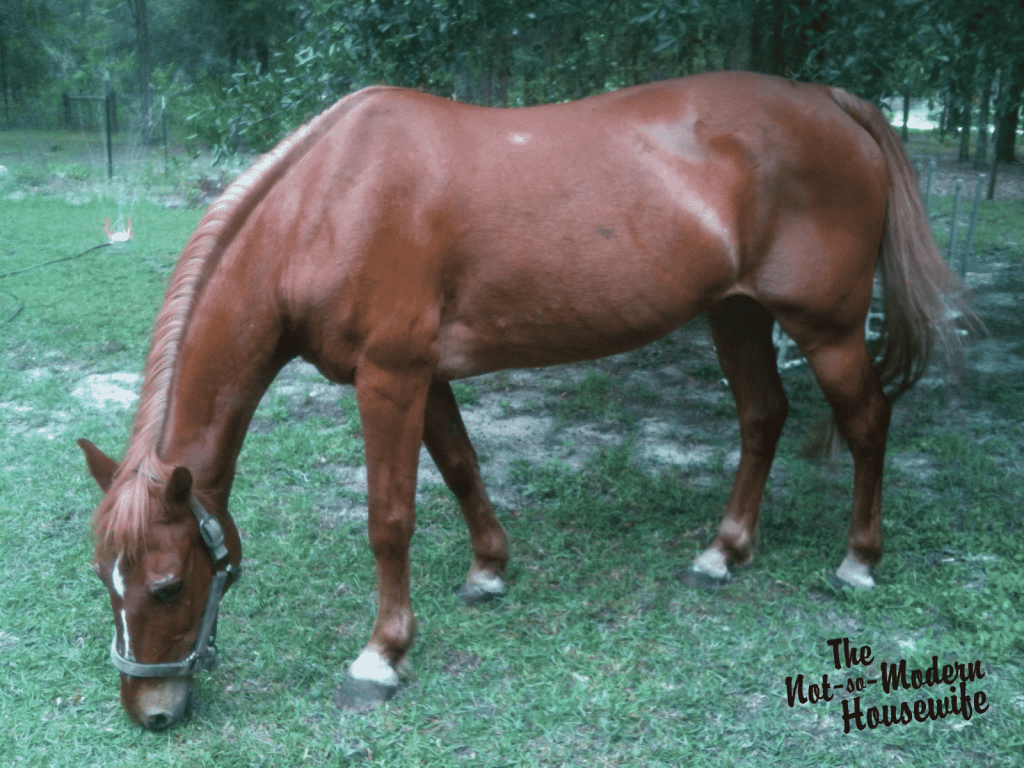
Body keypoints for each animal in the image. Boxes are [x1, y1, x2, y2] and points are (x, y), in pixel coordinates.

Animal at [79, 70, 967, 730]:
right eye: (104, 580)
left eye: (167, 584)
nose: (150, 710)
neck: (330, 202)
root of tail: (832, 103)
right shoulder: (424, 377)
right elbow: (462, 467)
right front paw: (488, 572)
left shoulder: (389, 377)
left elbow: (389, 519)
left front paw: (381, 656)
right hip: (737, 312)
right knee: (763, 416)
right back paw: (723, 552)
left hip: (828, 327)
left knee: (866, 421)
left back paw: (857, 561)